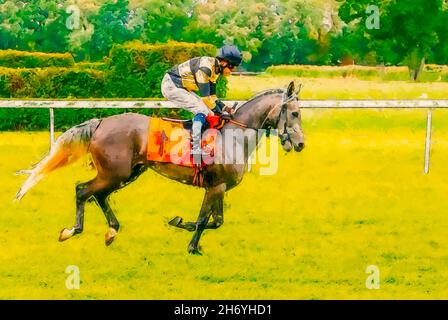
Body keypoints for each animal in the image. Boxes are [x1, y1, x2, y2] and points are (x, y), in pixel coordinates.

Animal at [15, 80, 306, 255]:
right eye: (294, 113)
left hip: (126, 173)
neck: (233, 136)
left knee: (98, 195)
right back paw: (71, 231)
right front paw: (192, 246)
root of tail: (101, 122)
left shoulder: (219, 187)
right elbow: (204, 220)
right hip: (114, 173)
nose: (301, 143)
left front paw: (181, 223)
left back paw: (111, 231)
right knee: (82, 190)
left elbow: (217, 221)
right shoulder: (215, 187)